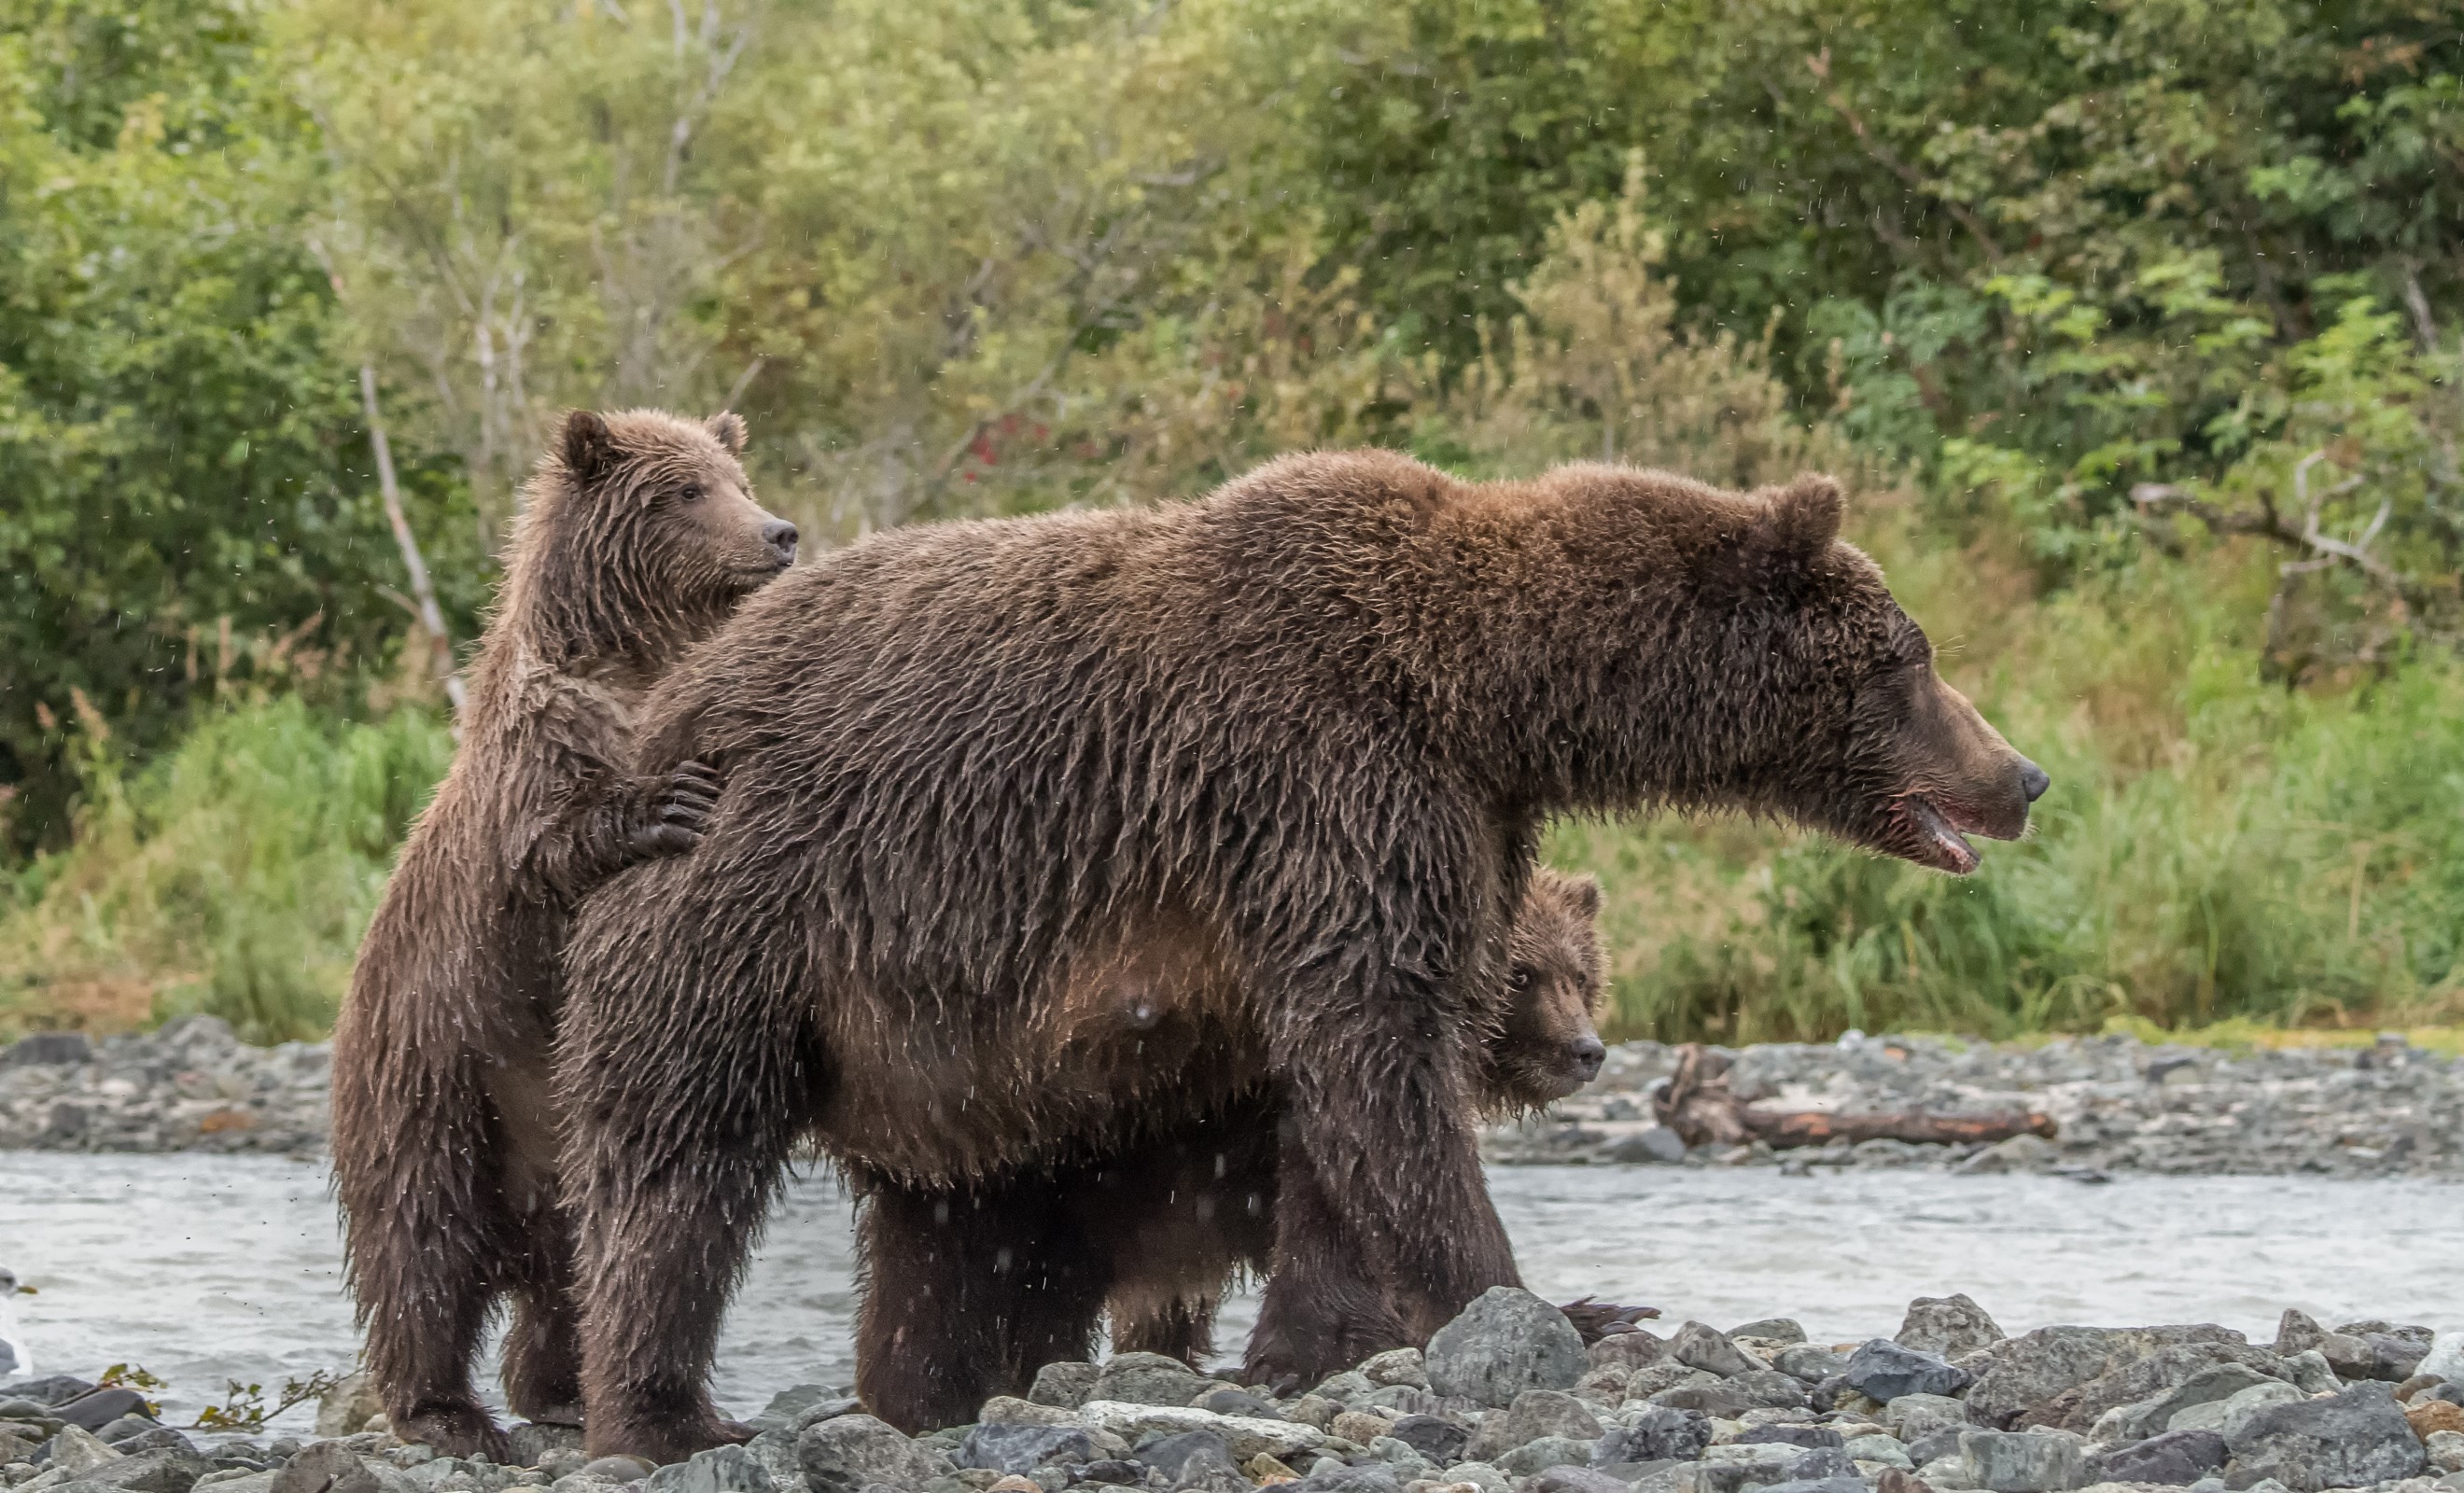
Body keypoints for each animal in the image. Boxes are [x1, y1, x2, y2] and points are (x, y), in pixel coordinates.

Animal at [328, 409, 797, 1458]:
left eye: (736, 478)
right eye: (687, 492)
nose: (779, 533)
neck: (630, 662)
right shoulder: (537, 757)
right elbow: (551, 841)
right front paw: (672, 804)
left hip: (544, 1132)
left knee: (572, 1266)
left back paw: (577, 1391)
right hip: (438, 1076)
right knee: (421, 1243)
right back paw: (447, 1412)